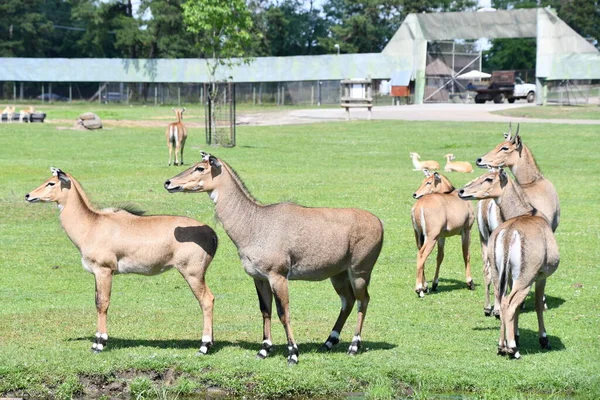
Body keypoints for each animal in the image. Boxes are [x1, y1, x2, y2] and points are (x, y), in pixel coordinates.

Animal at [26, 167, 218, 354]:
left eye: (51, 183)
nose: (28, 195)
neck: (91, 224)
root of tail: (212, 234)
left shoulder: (104, 270)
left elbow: (102, 303)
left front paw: (99, 343)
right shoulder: (96, 273)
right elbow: (96, 301)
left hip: (193, 273)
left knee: (207, 300)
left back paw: (204, 346)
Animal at [163, 152, 384, 364]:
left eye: (200, 167)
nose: (168, 182)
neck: (254, 223)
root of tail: (379, 222)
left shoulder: (278, 276)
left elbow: (283, 312)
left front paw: (293, 353)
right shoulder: (259, 277)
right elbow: (265, 310)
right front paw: (264, 350)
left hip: (360, 271)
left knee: (363, 300)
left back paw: (353, 346)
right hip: (338, 274)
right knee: (348, 301)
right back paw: (328, 342)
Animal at [458, 168, 560, 360]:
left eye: (488, 178)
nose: (461, 191)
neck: (527, 211)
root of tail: (509, 235)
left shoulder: (511, 277)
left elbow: (519, 307)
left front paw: (517, 335)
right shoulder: (541, 276)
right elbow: (537, 305)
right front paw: (544, 339)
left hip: (498, 272)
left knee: (502, 299)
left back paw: (501, 345)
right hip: (525, 279)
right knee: (509, 303)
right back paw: (512, 348)